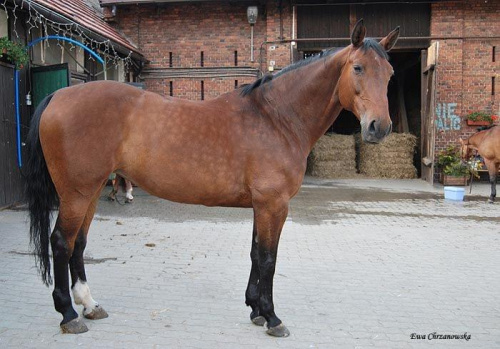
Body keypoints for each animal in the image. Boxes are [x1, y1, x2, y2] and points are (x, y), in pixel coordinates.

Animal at [25, 20, 400, 336]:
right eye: (357, 67)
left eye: (390, 72)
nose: (378, 127)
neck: (275, 118)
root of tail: (57, 96)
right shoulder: (274, 205)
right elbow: (269, 258)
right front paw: (272, 317)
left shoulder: (261, 206)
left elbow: (255, 253)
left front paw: (255, 309)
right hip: (76, 192)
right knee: (61, 242)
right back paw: (69, 315)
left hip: (88, 192)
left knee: (78, 243)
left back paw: (89, 305)